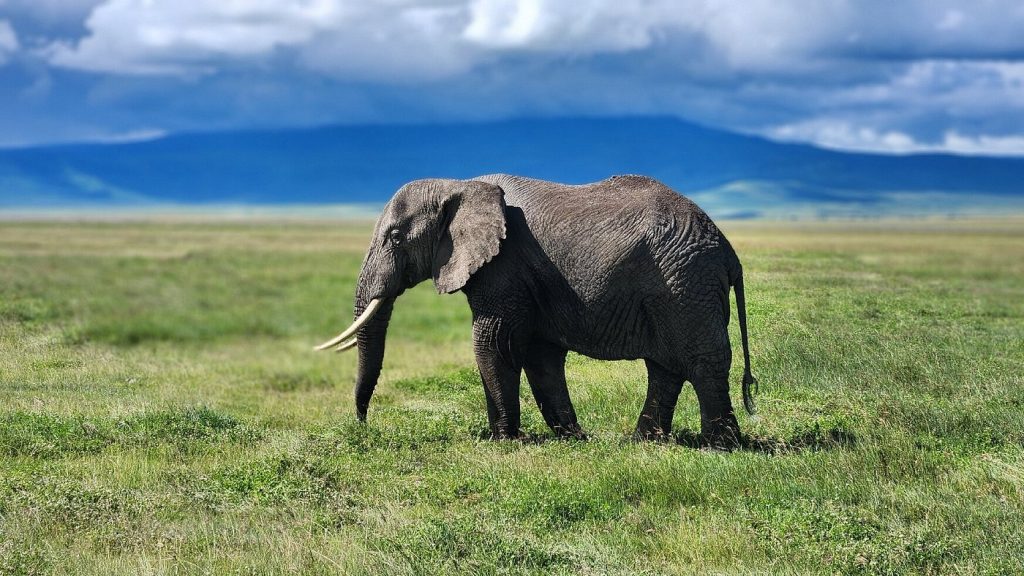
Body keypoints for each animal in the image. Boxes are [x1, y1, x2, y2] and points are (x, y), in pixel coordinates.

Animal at [315, 174, 757, 447]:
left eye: (394, 237)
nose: (364, 425)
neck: (462, 185)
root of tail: (727, 250)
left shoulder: (503, 265)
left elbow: (493, 340)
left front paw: (506, 440)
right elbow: (541, 355)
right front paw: (571, 437)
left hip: (686, 280)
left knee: (702, 360)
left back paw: (721, 446)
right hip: (678, 285)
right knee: (664, 366)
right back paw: (645, 442)